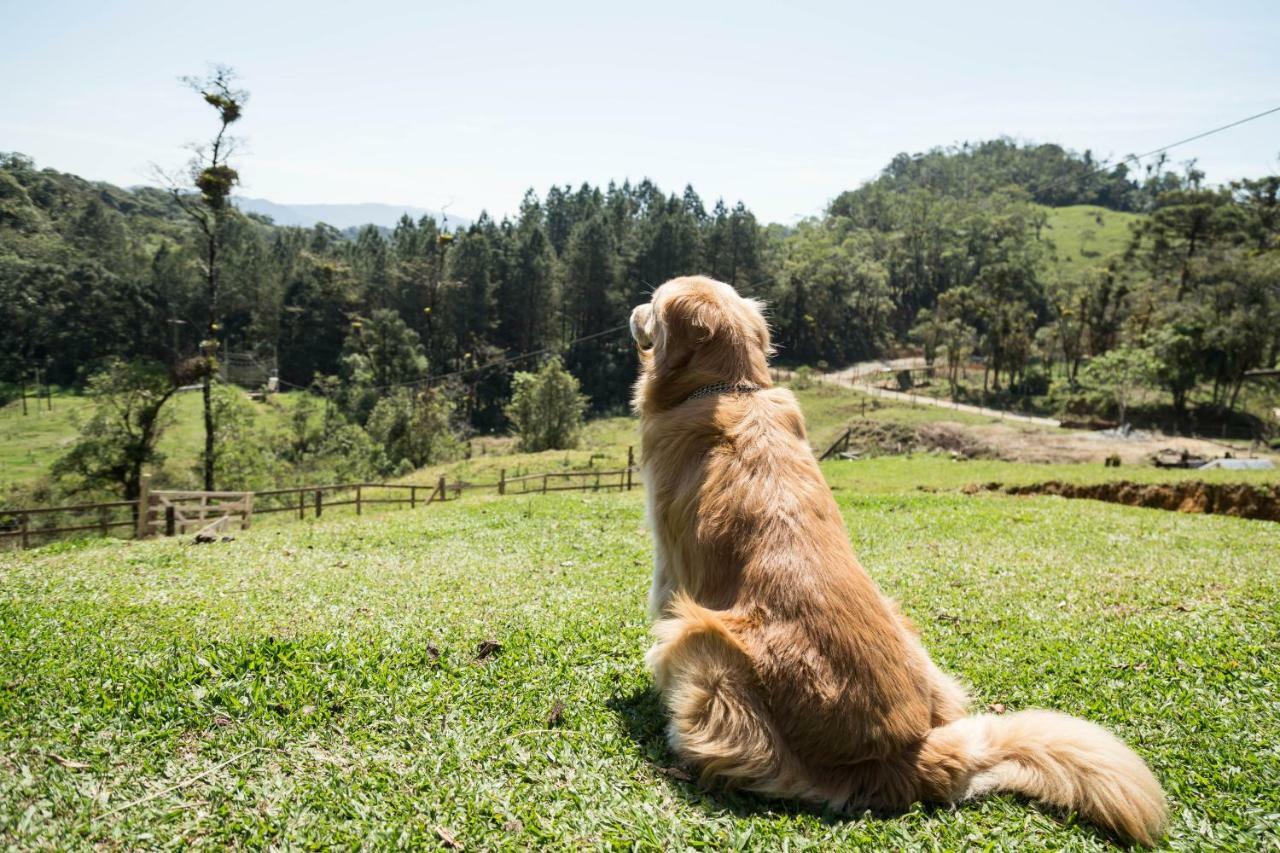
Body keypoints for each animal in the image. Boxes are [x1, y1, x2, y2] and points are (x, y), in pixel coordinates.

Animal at [632, 275, 1172, 840]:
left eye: (653, 302)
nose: (632, 310)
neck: (730, 389)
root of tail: (907, 753)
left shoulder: (669, 562)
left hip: (701, 645)